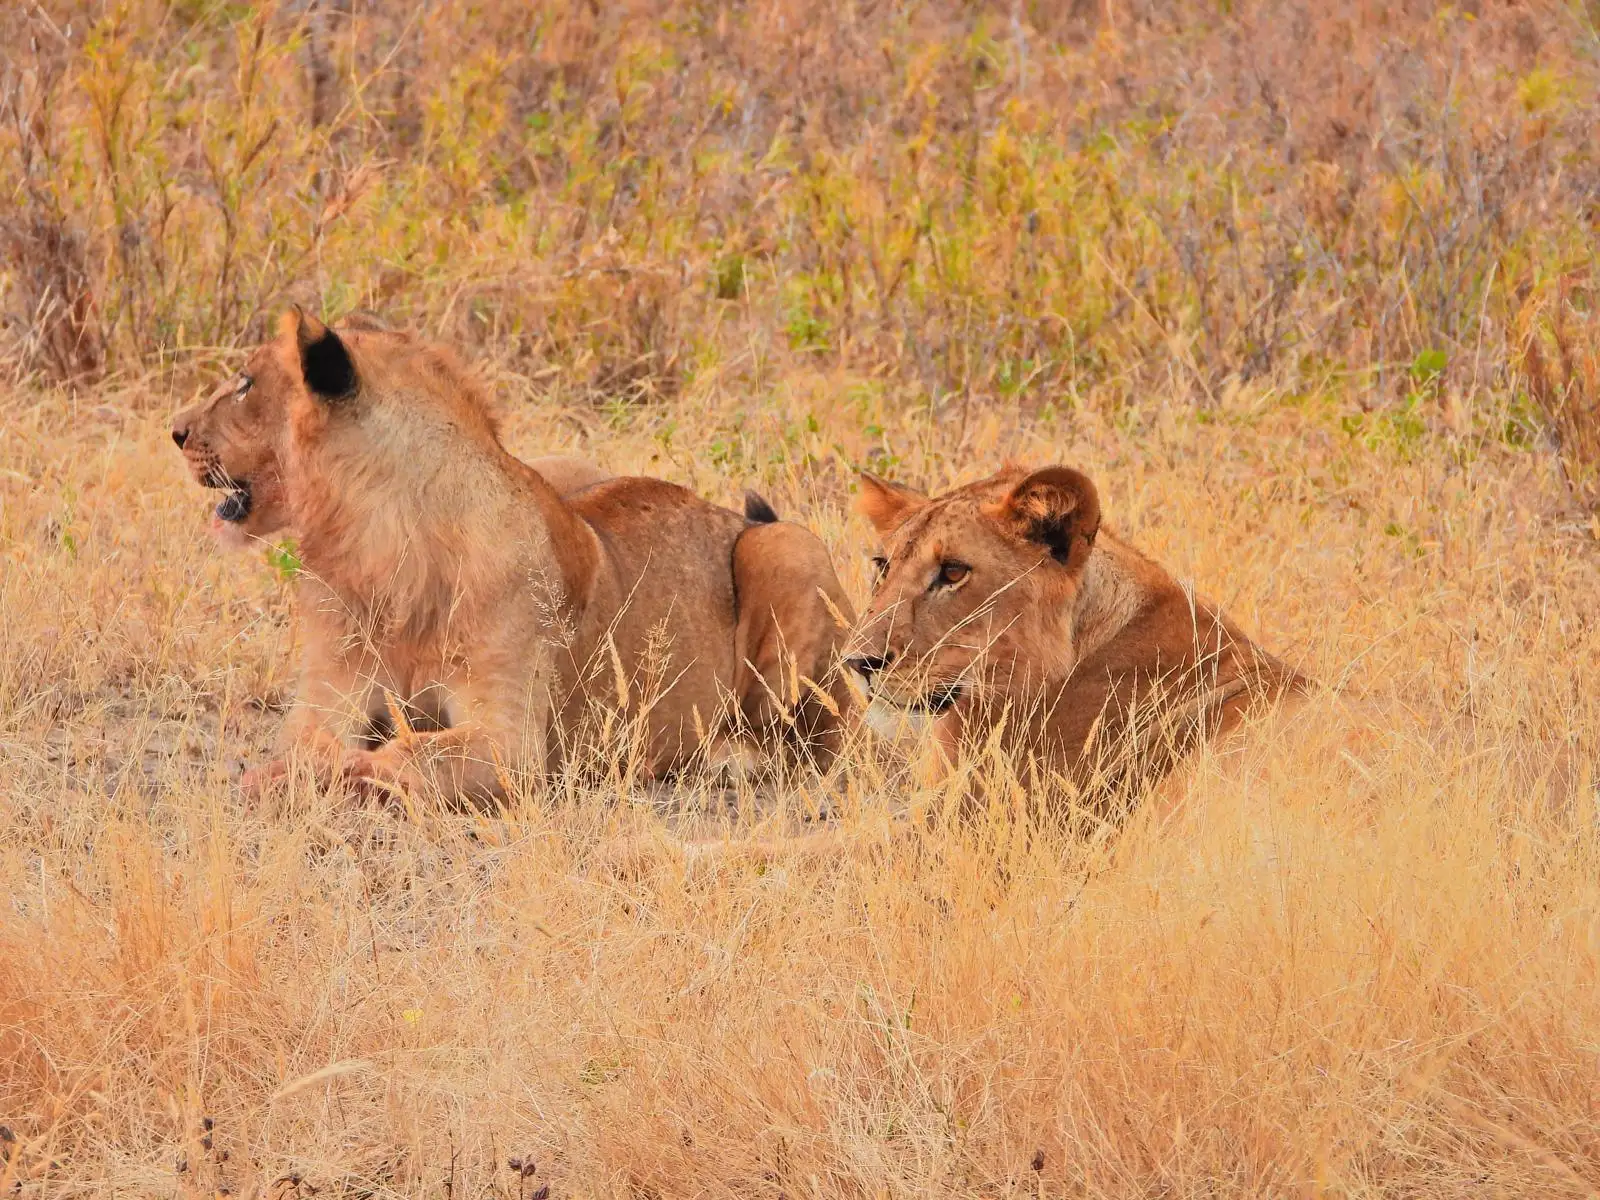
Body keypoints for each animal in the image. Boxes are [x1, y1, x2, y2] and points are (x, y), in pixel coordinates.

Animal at [186, 311, 854, 801]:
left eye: (244, 384)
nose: (175, 432)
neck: (383, 547)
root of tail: (726, 512)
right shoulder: (327, 698)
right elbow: (307, 747)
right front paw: (285, 772)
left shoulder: (513, 743)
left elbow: (408, 753)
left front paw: (347, 771)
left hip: (785, 549)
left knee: (815, 741)